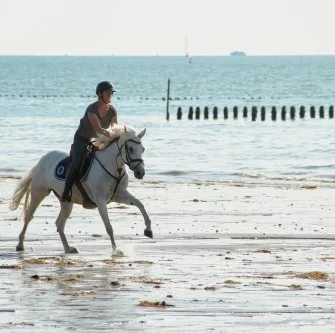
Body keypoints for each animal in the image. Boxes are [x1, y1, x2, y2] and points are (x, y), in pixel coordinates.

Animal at [8, 123, 152, 255]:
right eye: (131, 149)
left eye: (143, 149)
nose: (140, 173)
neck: (112, 167)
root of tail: (42, 161)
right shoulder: (100, 201)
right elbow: (109, 226)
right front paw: (116, 250)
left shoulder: (120, 195)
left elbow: (140, 204)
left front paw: (148, 230)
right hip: (39, 193)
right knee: (28, 216)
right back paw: (20, 245)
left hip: (66, 202)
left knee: (59, 224)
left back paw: (68, 248)